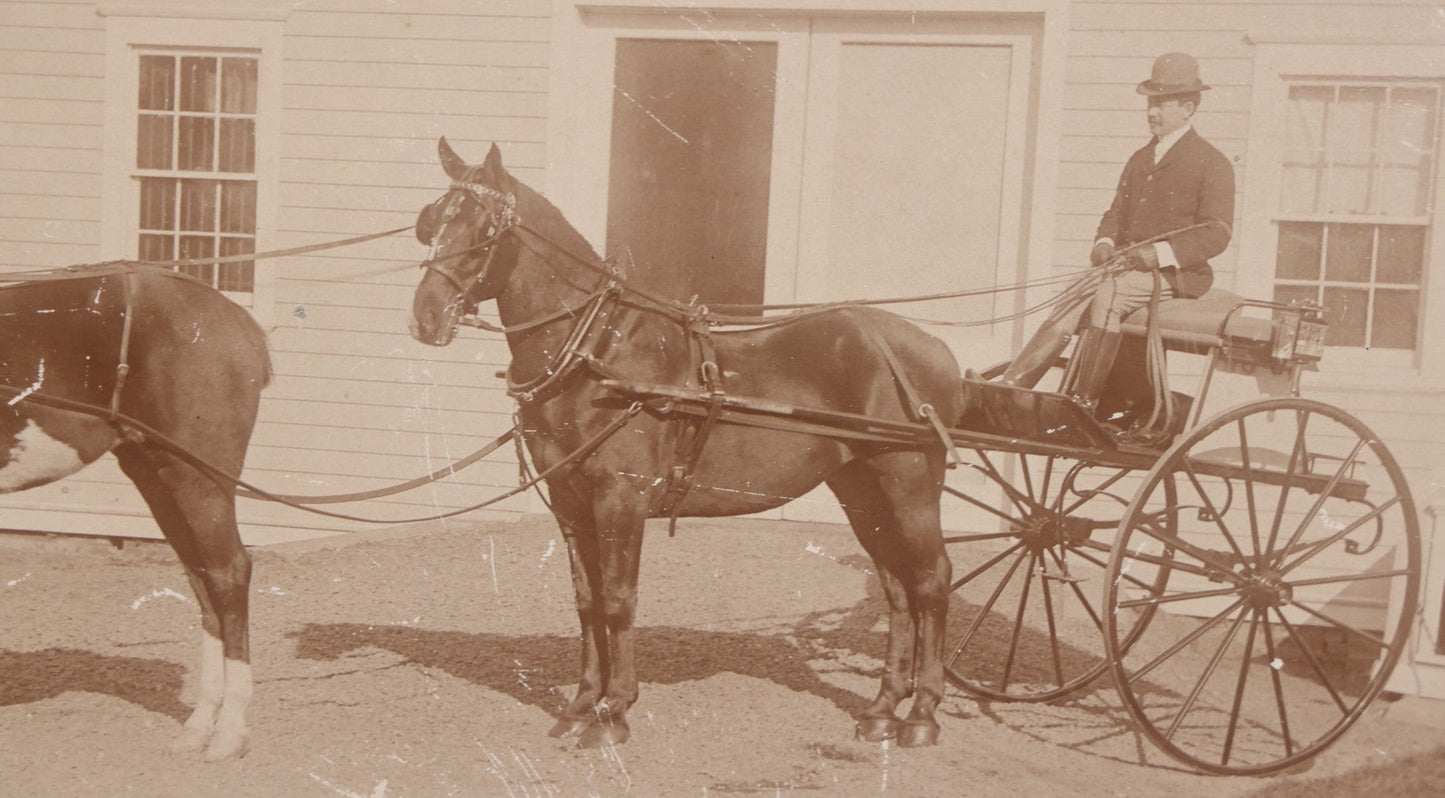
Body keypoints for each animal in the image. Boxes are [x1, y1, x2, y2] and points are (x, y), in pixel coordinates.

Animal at [0, 266, 270, 761]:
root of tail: (239, 321)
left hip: (198, 477)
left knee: (229, 573)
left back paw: (229, 730)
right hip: (156, 475)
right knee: (203, 579)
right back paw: (201, 723)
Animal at [409, 138, 968, 749]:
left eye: (484, 228)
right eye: (432, 220)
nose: (425, 316)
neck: (599, 354)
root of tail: (936, 350)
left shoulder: (620, 500)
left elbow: (617, 600)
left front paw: (615, 711)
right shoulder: (570, 501)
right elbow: (586, 601)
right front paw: (581, 705)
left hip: (908, 485)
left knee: (932, 580)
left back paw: (922, 714)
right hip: (861, 490)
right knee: (897, 587)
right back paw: (884, 708)